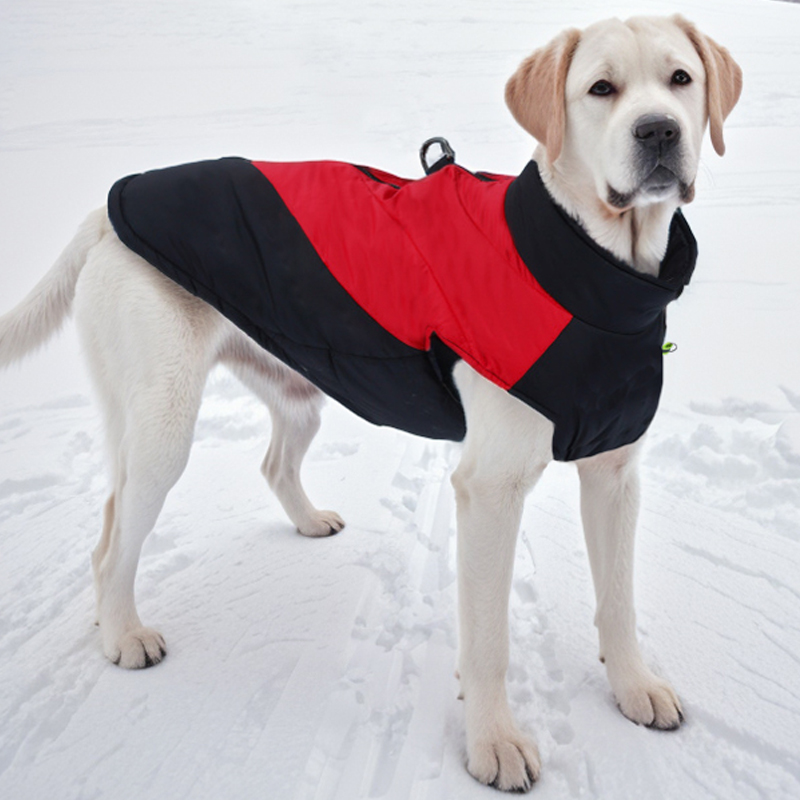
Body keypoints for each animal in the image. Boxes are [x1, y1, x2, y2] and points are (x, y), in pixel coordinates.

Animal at [0, 14, 741, 792]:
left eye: (681, 80)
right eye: (601, 88)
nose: (658, 131)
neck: (595, 279)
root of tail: (106, 214)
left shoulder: (615, 473)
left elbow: (618, 601)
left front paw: (633, 689)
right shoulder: (491, 488)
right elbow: (489, 639)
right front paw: (494, 742)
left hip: (299, 393)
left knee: (270, 465)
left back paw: (304, 523)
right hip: (162, 426)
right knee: (112, 538)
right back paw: (122, 633)